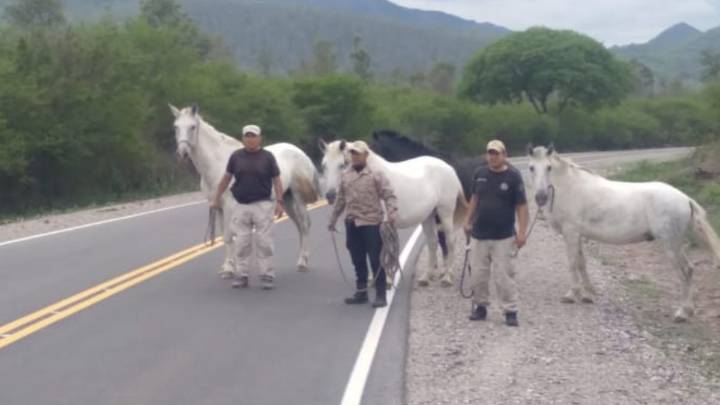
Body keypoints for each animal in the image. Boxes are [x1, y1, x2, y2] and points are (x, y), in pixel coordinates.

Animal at [170, 104, 321, 275]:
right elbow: (224, 237)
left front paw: (229, 269)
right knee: (299, 226)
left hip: (298, 198)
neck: (219, 163)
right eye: (176, 127)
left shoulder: (229, 206)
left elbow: (229, 236)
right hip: (287, 200)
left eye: (193, 127)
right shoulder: (218, 207)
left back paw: (303, 262)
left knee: (305, 225)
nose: (182, 153)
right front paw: (226, 267)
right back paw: (301, 260)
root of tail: (301, 152)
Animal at [319, 139, 469, 286]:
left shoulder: (382, 224)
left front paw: (386, 280)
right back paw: (426, 277)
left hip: (445, 213)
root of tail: (449, 168)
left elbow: (381, 249)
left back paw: (447, 277)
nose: (330, 196)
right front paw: (374, 277)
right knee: (432, 242)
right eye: (324, 165)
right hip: (428, 216)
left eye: (342, 165)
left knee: (450, 241)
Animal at [527, 145, 720, 322]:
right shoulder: (578, 234)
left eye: (549, 167)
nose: (540, 197)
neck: (570, 187)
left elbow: (572, 263)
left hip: (670, 244)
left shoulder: (570, 232)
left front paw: (572, 294)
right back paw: (688, 311)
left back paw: (683, 312)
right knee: (689, 269)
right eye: (531, 167)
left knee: (685, 271)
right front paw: (589, 294)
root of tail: (685, 198)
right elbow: (582, 263)